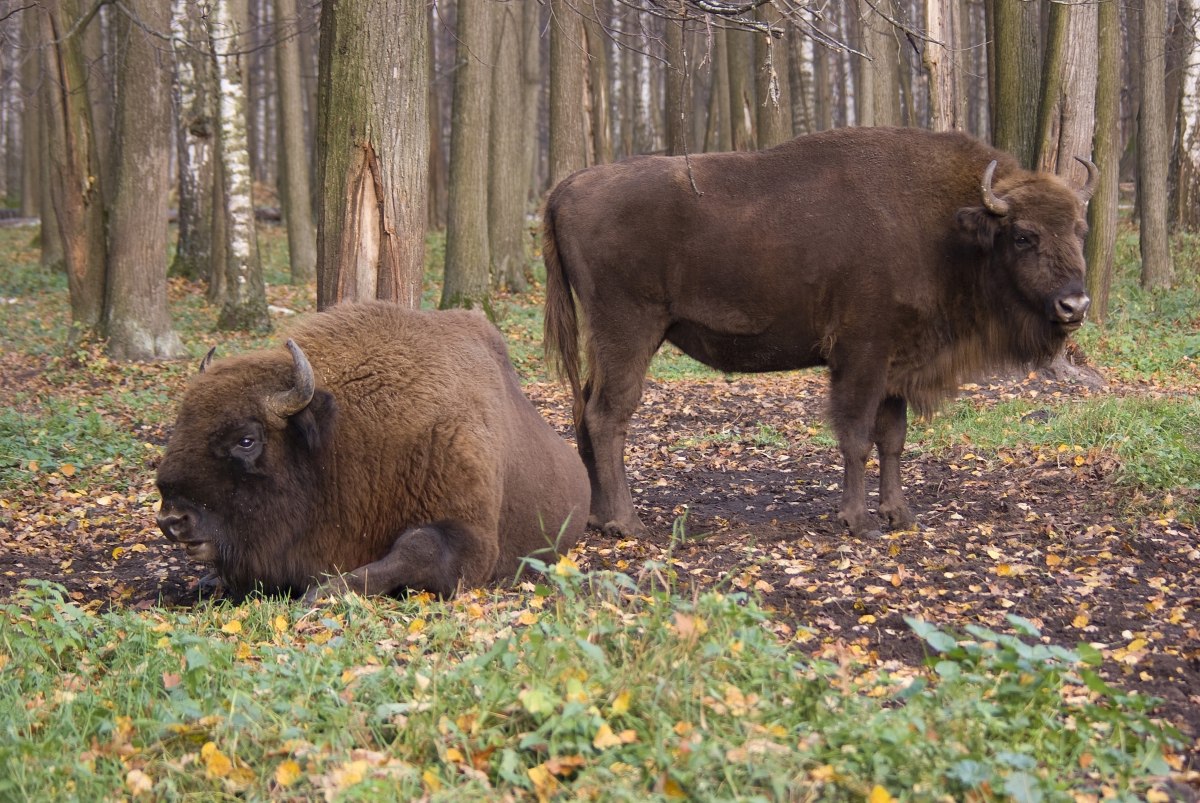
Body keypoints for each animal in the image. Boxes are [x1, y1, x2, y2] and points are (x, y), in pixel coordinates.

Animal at [157, 298, 588, 595]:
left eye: (247, 440)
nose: (172, 520)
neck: (341, 435)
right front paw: (208, 582)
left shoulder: (469, 537)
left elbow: (416, 549)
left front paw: (321, 594)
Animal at [544, 125, 1099, 537]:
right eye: (1023, 236)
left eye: (1079, 230)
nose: (1074, 305)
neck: (945, 229)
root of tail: (567, 187)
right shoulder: (861, 356)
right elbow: (856, 436)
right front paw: (858, 521)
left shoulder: (897, 363)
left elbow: (892, 438)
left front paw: (900, 515)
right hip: (630, 330)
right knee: (608, 415)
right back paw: (628, 524)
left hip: (611, 339)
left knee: (586, 410)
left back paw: (595, 518)